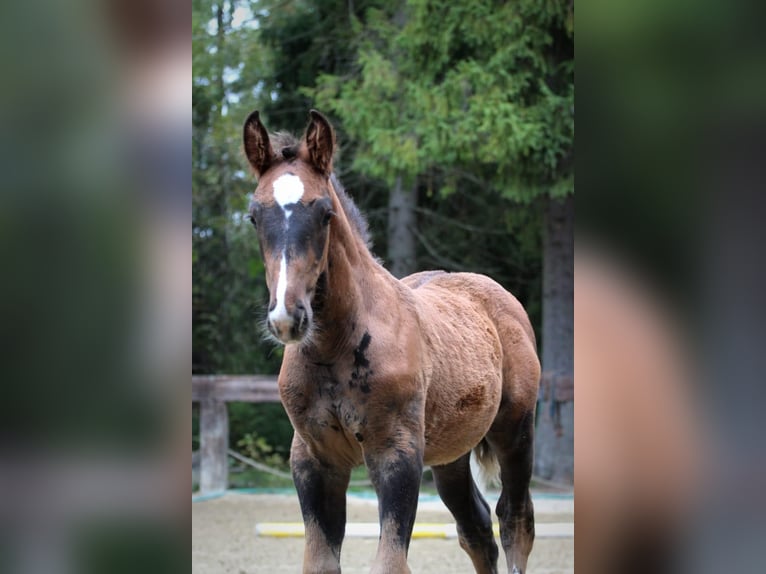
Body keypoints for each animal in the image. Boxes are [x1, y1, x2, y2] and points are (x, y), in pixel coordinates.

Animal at [242, 109, 541, 574]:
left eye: (325, 213)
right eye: (255, 216)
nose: (287, 317)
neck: (334, 351)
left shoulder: (396, 453)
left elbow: (390, 562)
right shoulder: (313, 460)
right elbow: (320, 562)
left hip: (515, 429)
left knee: (515, 520)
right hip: (450, 453)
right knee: (475, 528)